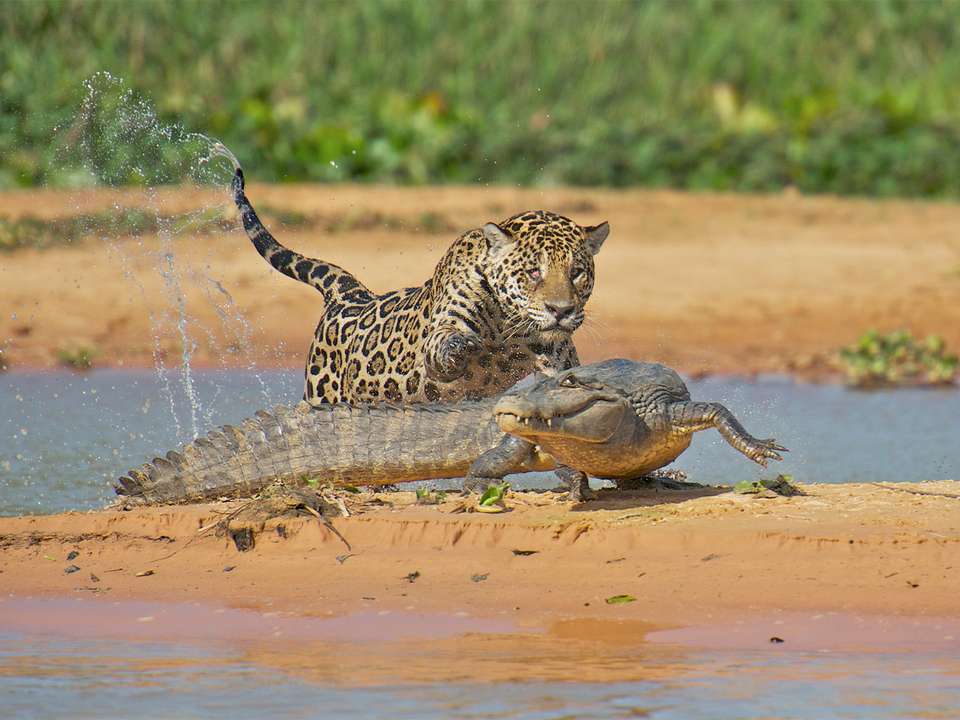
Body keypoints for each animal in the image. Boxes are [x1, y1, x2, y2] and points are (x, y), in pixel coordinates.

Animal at [231, 166, 608, 406]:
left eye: (576, 272)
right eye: (533, 272)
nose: (561, 310)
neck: (511, 329)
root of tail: (351, 295)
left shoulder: (556, 357)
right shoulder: (445, 331)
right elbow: (449, 345)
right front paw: (465, 349)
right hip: (318, 393)